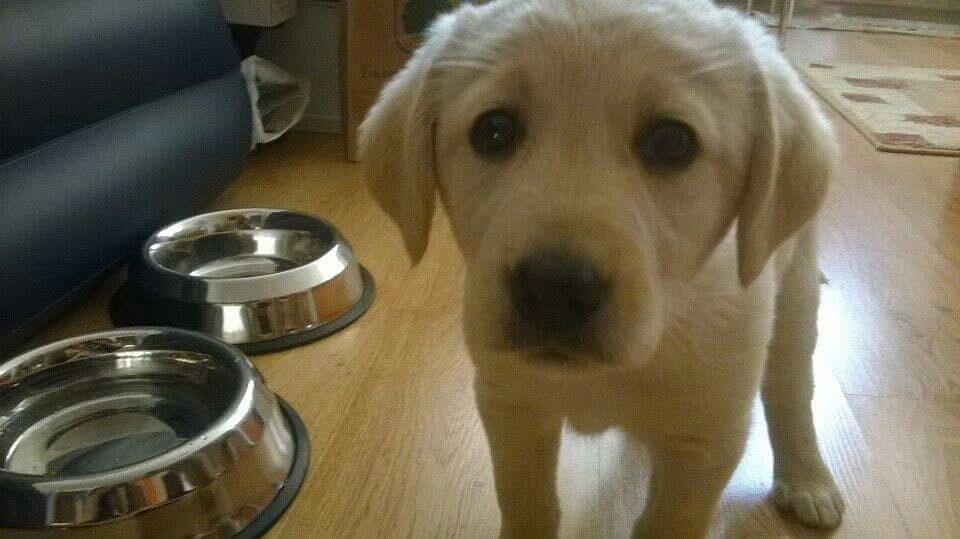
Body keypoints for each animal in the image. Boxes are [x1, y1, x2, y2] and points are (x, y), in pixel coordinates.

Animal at [358, 0, 840, 536]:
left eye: (671, 142)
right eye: (493, 131)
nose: (553, 290)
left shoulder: (705, 440)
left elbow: (667, 522)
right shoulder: (512, 407)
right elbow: (526, 502)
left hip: (796, 294)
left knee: (791, 392)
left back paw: (807, 478)